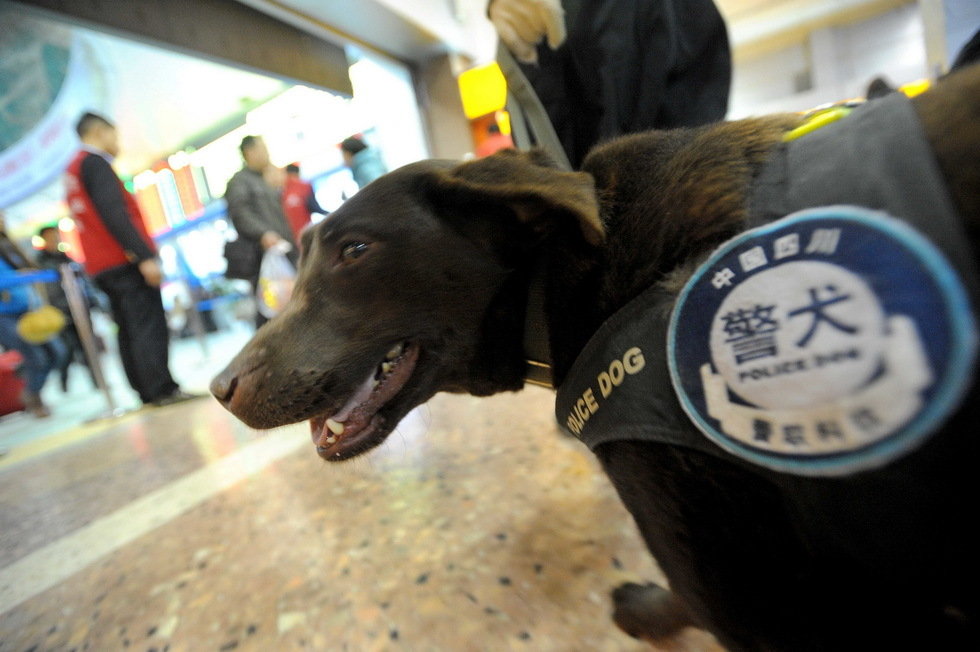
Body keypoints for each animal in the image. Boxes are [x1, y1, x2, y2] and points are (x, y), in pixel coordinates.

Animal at [211, 62, 976, 652]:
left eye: (356, 250)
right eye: (302, 258)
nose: (220, 387)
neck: (563, 273)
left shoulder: (755, 596)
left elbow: (692, 599)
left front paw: (647, 610)